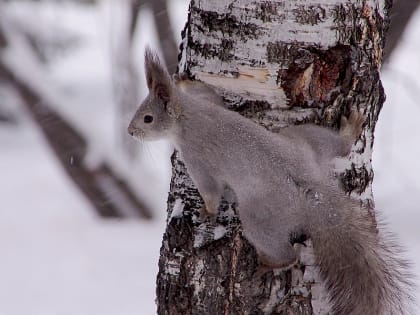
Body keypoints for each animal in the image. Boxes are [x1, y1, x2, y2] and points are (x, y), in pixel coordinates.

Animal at [127, 49, 410, 315]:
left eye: (148, 119)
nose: (130, 132)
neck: (188, 116)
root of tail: (314, 193)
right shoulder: (208, 102)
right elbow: (210, 94)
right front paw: (183, 80)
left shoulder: (198, 159)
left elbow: (211, 191)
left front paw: (206, 211)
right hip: (304, 139)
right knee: (339, 146)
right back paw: (350, 130)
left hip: (259, 218)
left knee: (288, 255)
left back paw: (269, 263)